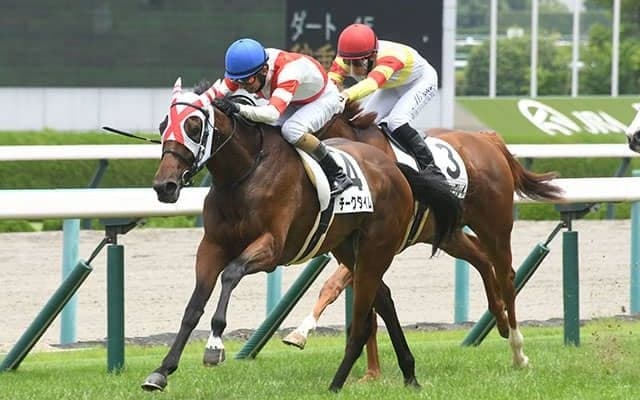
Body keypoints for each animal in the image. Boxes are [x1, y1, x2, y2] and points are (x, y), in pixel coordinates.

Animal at [143, 79, 463, 392]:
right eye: (162, 125)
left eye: (194, 126)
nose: (164, 186)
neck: (245, 173)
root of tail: (393, 166)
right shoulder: (212, 246)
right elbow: (193, 307)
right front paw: (161, 371)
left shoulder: (272, 248)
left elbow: (231, 274)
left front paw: (214, 345)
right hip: (349, 249)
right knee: (383, 298)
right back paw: (409, 375)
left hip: (377, 248)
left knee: (364, 317)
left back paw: (337, 384)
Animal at [282, 101, 564, 378]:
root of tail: (487, 138)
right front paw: (370, 373)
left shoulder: (379, 243)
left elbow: (337, 286)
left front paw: (303, 334)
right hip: (448, 234)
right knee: (482, 260)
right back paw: (500, 319)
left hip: (494, 226)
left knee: (506, 276)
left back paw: (518, 352)